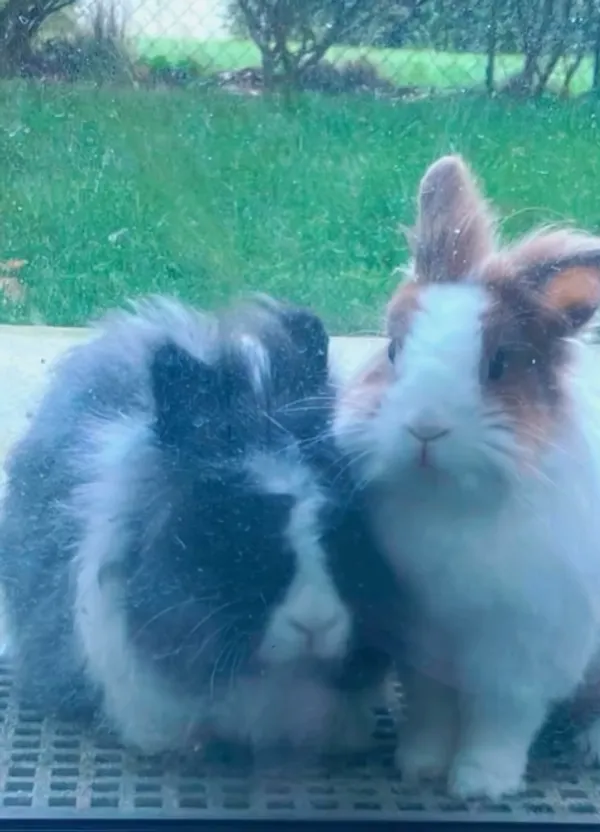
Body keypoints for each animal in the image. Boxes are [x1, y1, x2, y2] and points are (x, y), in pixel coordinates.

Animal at [333, 152, 600, 800]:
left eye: (499, 364)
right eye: (393, 350)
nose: (425, 429)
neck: (448, 506)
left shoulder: (523, 651)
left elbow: (501, 719)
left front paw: (480, 783)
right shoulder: (423, 645)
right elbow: (432, 710)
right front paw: (420, 765)